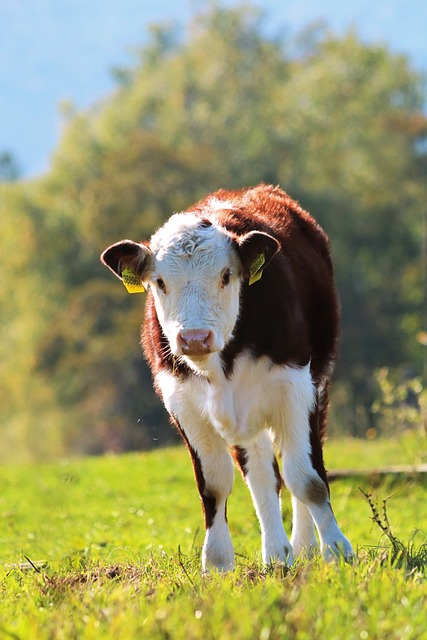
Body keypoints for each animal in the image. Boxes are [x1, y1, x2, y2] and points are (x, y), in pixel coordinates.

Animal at [100, 184, 354, 568]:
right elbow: (215, 485)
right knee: (263, 474)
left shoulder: (296, 388)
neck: (221, 366)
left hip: (317, 384)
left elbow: (307, 478)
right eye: (159, 281)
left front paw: (337, 551)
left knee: (295, 467)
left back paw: (303, 547)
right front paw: (218, 562)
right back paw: (276, 554)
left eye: (225, 275)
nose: (194, 338)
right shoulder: (184, 406)